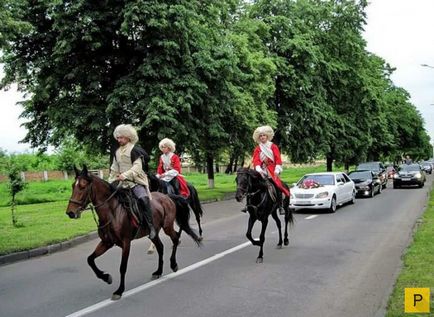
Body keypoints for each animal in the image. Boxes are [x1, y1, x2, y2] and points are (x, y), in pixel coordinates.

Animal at [65, 165, 201, 298]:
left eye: (83, 186)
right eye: (73, 186)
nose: (70, 212)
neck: (113, 212)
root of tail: (167, 197)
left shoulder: (126, 243)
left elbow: (122, 267)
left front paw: (119, 290)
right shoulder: (106, 242)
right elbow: (90, 259)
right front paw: (106, 277)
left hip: (167, 226)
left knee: (175, 238)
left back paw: (173, 264)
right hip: (153, 234)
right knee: (160, 247)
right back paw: (158, 271)